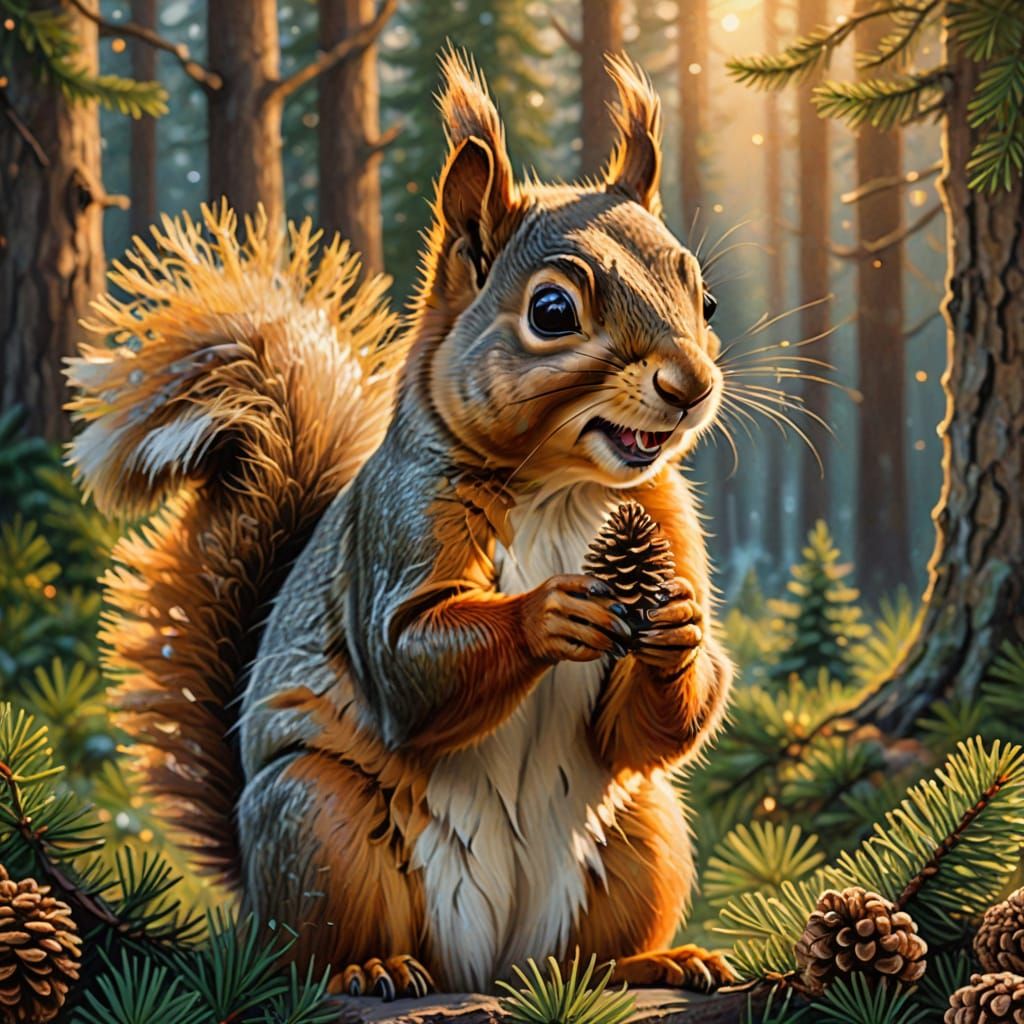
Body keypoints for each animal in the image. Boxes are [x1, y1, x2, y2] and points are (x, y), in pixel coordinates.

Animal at [65, 51, 734, 999]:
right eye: (552, 311)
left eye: (704, 301)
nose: (690, 385)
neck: (563, 492)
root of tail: (491, 964)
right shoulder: (397, 526)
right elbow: (410, 662)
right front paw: (549, 612)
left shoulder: (669, 526)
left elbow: (644, 728)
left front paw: (678, 633)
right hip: (319, 825)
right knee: (312, 953)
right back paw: (369, 968)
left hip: (644, 829)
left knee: (594, 946)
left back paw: (659, 960)